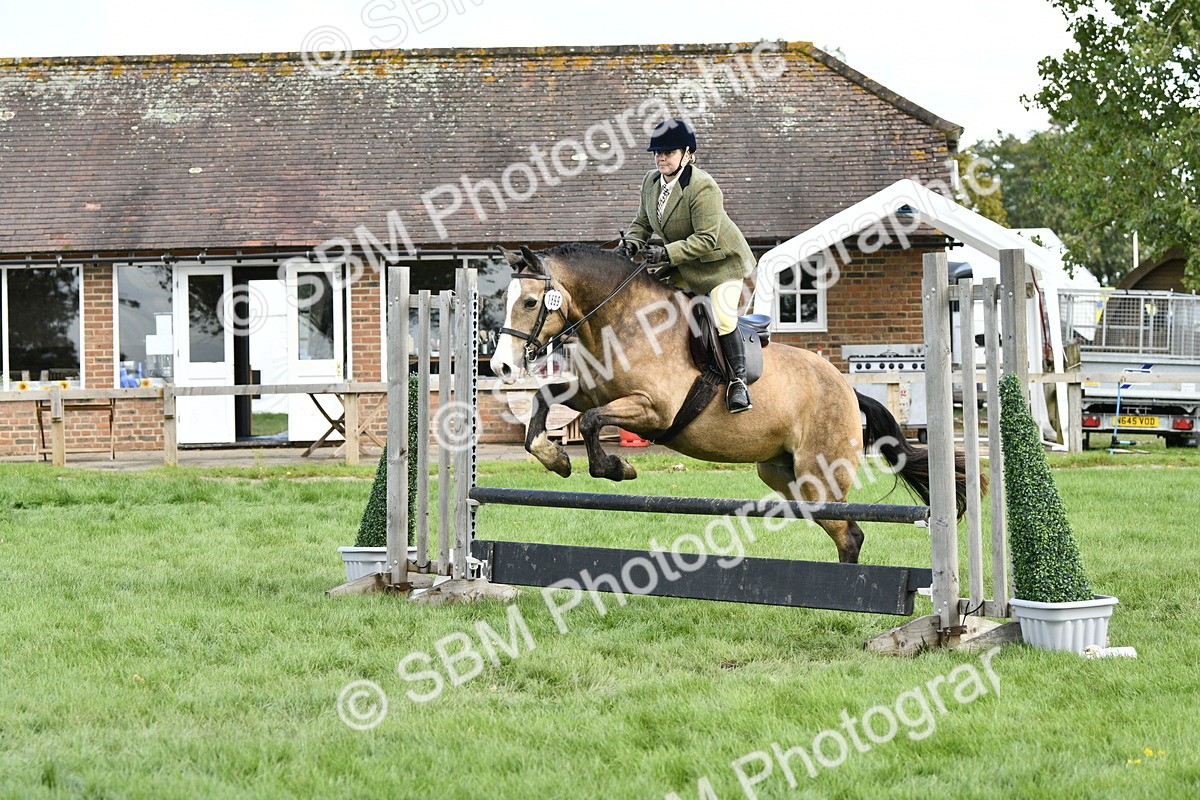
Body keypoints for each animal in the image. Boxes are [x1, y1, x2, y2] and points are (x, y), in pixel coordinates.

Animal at [489, 243, 971, 564]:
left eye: (530, 302)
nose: (501, 367)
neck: (623, 320)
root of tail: (849, 391)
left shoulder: (653, 410)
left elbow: (589, 421)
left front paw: (617, 468)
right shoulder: (596, 391)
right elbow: (546, 401)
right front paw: (554, 458)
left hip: (821, 475)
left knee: (849, 534)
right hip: (783, 474)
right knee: (842, 531)